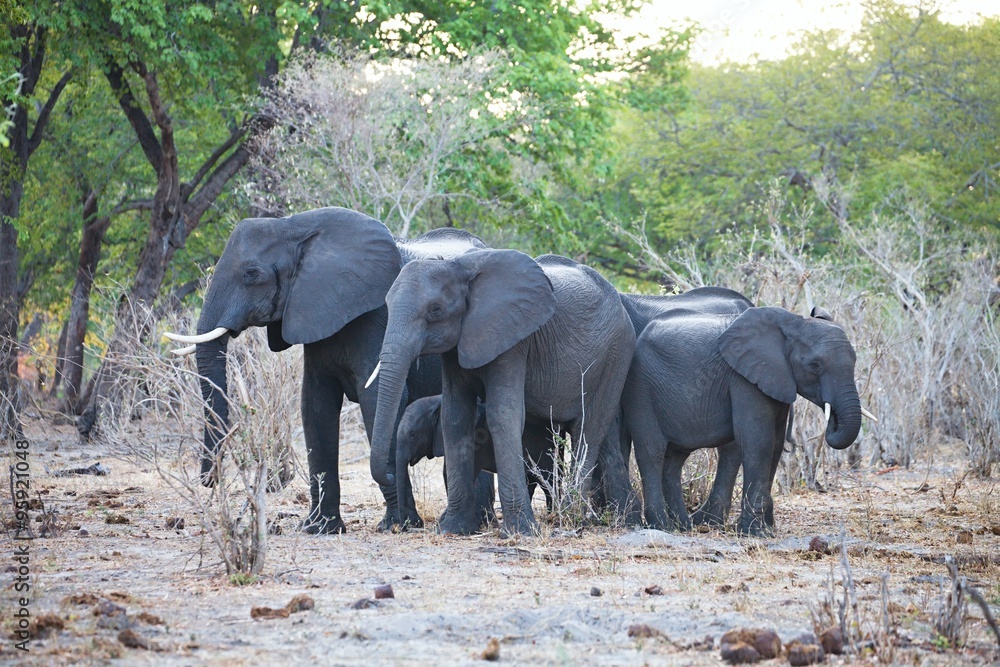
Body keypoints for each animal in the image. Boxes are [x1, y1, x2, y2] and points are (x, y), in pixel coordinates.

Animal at [164, 207, 487, 534]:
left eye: (252, 274)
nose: (210, 480)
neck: (295, 226)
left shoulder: (376, 317)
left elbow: (374, 401)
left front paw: (396, 525)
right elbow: (315, 405)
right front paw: (318, 529)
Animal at [368, 250, 637, 536]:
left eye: (435, 309)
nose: (389, 474)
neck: (458, 265)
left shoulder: (513, 339)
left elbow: (503, 414)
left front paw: (520, 532)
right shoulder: (456, 347)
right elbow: (455, 417)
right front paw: (452, 529)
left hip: (616, 353)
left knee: (587, 430)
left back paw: (572, 517)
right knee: (604, 437)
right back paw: (622, 519)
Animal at [623, 305, 872, 536]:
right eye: (815, 365)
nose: (833, 419)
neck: (794, 324)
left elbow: (776, 445)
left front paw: (767, 529)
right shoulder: (744, 378)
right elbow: (758, 441)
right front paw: (755, 533)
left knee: (674, 459)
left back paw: (683, 526)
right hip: (641, 388)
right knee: (651, 452)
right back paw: (661, 526)